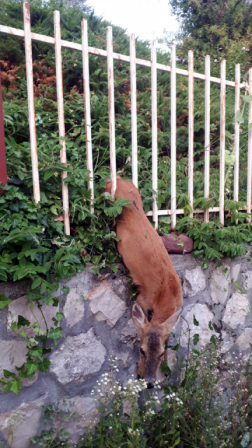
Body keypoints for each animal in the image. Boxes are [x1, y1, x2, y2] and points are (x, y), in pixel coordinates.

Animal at [103, 177, 182, 386]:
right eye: (141, 350)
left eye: (161, 354)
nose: (149, 383)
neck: (168, 294)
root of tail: (119, 179)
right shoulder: (143, 298)